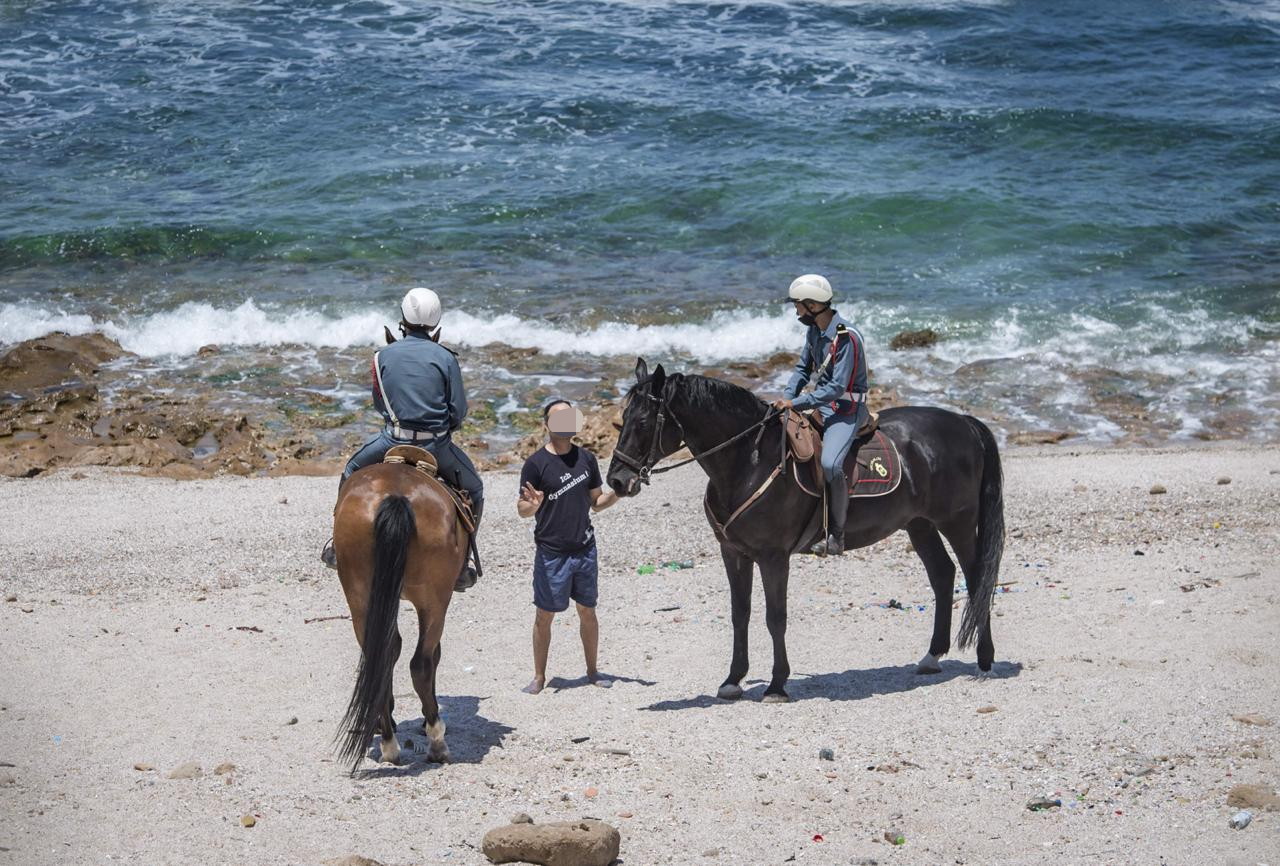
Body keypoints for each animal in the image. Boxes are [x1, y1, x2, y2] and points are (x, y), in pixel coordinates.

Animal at [332, 455, 468, 772]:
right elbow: (432, 656)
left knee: (379, 657)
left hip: (361, 597)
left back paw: (389, 744)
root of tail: (394, 495)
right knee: (421, 663)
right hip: (434, 600)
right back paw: (437, 742)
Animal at [604, 358, 1003, 700]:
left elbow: (775, 617)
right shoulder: (733, 553)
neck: (748, 461)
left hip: (957, 522)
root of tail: (964, 422)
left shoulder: (773, 557)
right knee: (942, 575)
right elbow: (740, 614)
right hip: (919, 524)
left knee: (976, 578)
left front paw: (777, 685)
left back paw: (985, 660)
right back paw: (932, 657)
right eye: (621, 420)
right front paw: (733, 679)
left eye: (643, 422)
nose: (617, 480)